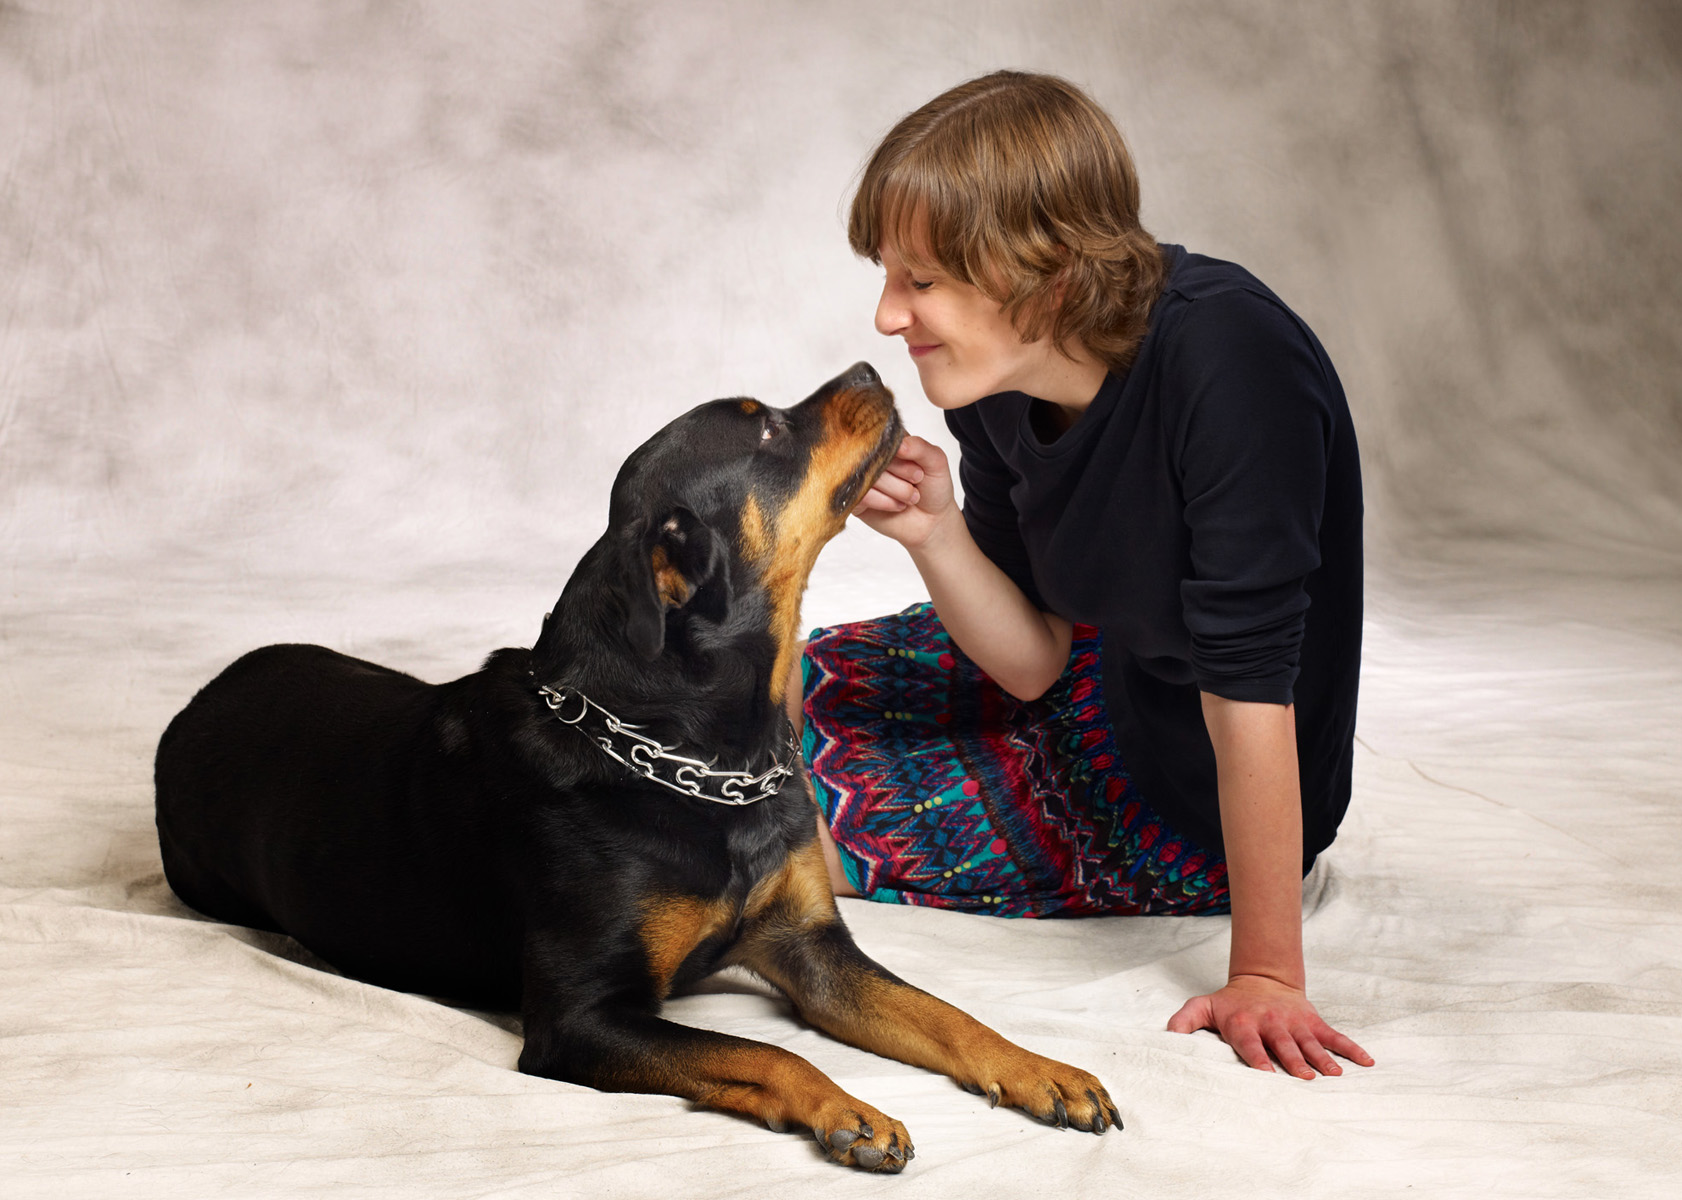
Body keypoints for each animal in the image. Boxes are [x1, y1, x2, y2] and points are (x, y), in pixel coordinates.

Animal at [158, 360, 1123, 1164]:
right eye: (765, 432)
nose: (869, 368)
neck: (703, 755)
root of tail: (200, 699)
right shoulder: (580, 1018)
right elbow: (762, 1050)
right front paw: (850, 1111)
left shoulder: (808, 946)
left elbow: (942, 1012)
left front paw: (1043, 1069)